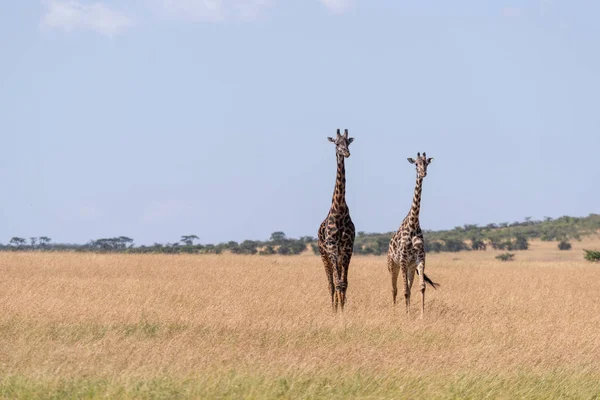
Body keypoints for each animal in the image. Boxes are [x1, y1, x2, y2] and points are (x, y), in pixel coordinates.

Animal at [386, 152, 438, 318]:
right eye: (416, 164)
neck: (413, 224)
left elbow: (421, 287)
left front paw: (421, 315)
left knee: (407, 287)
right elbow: (405, 290)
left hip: (410, 267)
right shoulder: (403, 260)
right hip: (392, 264)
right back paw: (395, 312)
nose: (423, 173)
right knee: (394, 289)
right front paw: (407, 315)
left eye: (426, 163)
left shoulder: (419, 259)